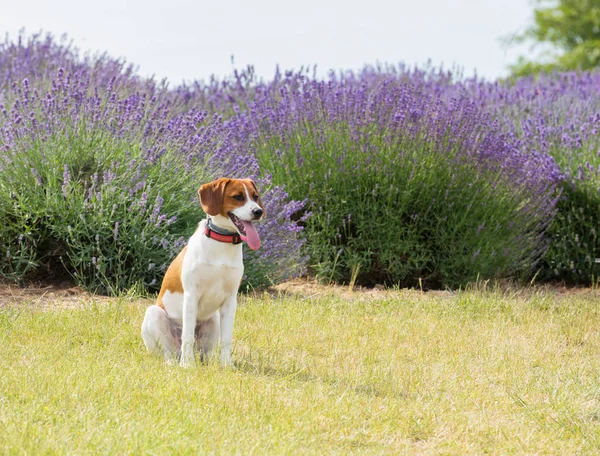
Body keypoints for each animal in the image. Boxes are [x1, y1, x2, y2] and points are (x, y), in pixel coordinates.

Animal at [142, 176, 264, 366]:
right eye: (238, 197)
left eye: (255, 196)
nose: (258, 211)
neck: (222, 243)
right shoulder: (192, 295)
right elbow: (187, 337)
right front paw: (187, 365)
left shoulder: (230, 300)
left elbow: (226, 339)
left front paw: (227, 365)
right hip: (153, 314)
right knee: (170, 352)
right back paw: (177, 362)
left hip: (213, 319)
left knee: (204, 355)